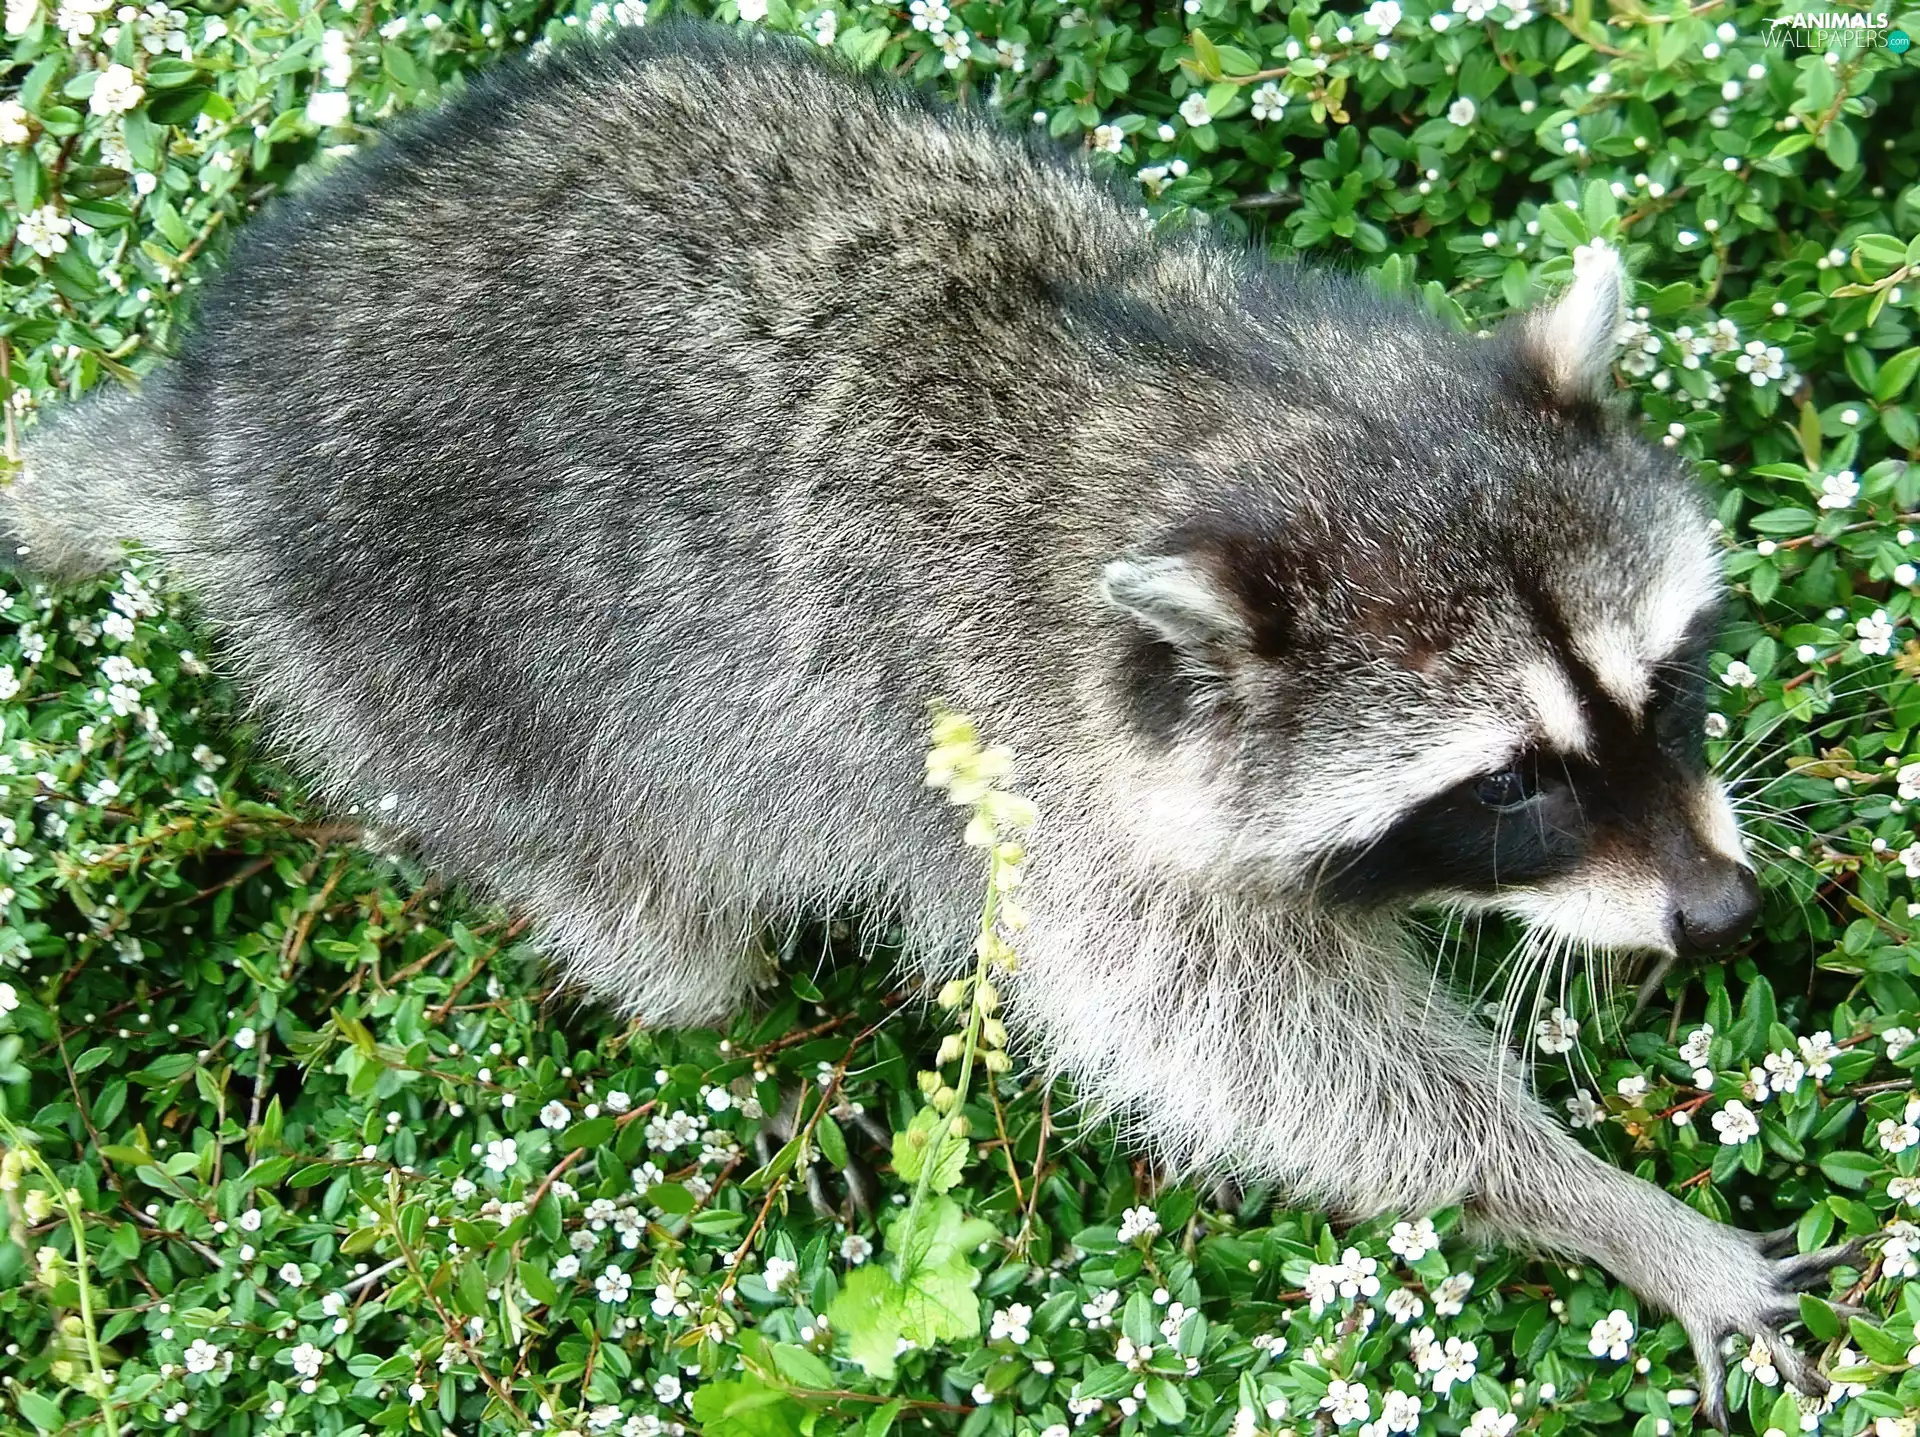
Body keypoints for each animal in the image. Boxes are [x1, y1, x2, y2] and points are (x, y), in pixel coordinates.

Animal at [4, 19, 1852, 1421]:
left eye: (1661, 687)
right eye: (1510, 785)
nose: (1718, 911)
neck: (1229, 411)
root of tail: (215, 405)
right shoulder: (1058, 806)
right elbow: (1282, 1067)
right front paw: (1597, 1201)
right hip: (436, 698)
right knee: (652, 917)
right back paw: (735, 1030)